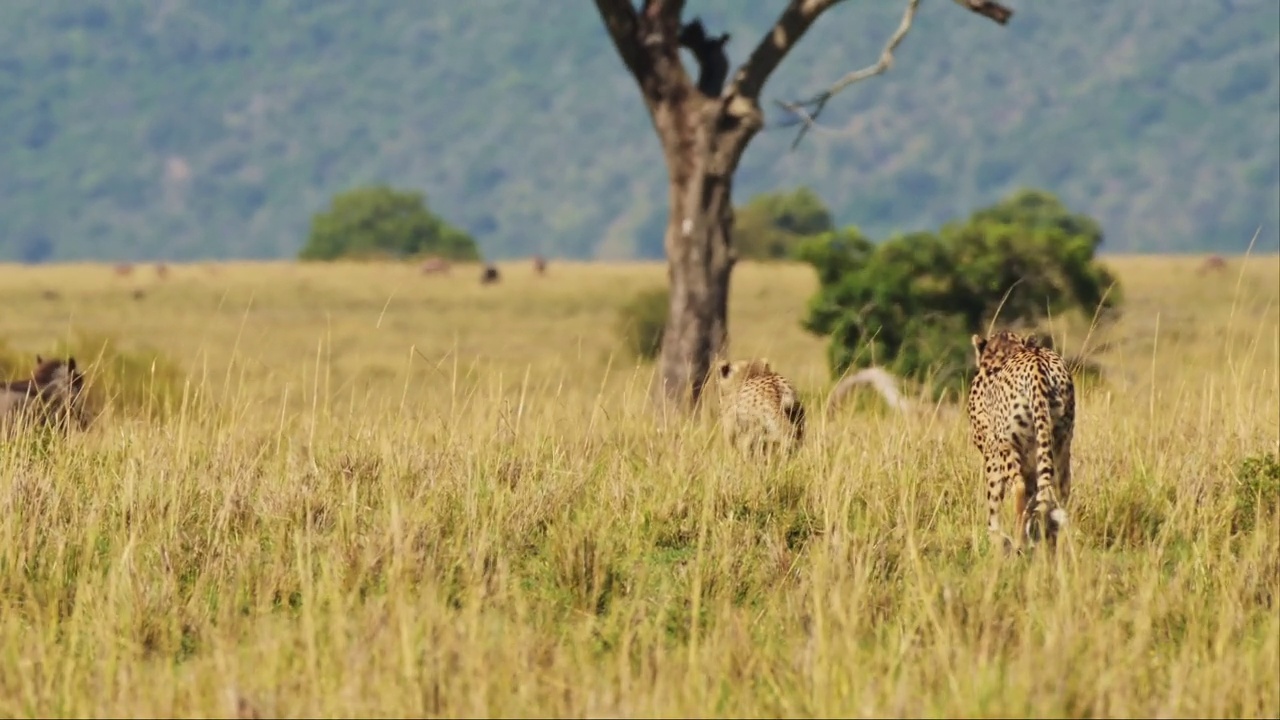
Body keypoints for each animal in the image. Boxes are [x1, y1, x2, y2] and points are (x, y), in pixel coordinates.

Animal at [962, 330, 1075, 548]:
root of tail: (1038, 364)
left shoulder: (992, 453)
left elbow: (993, 498)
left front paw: (994, 534)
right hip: (1061, 443)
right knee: (1059, 491)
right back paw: (1055, 541)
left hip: (1008, 444)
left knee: (1019, 487)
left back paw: (1019, 540)